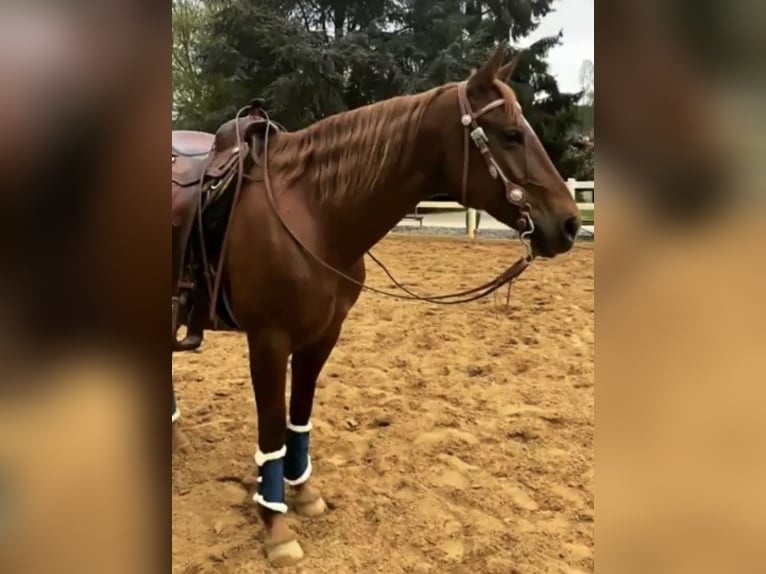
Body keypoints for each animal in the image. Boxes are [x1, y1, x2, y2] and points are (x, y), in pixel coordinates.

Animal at [172, 43, 581, 566]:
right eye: (511, 135)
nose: (570, 224)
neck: (314, 212)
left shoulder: (322, 336)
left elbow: (298, 416)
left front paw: (304, 495)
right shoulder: (268, 341)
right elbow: (271, 429)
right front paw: (276, 525)